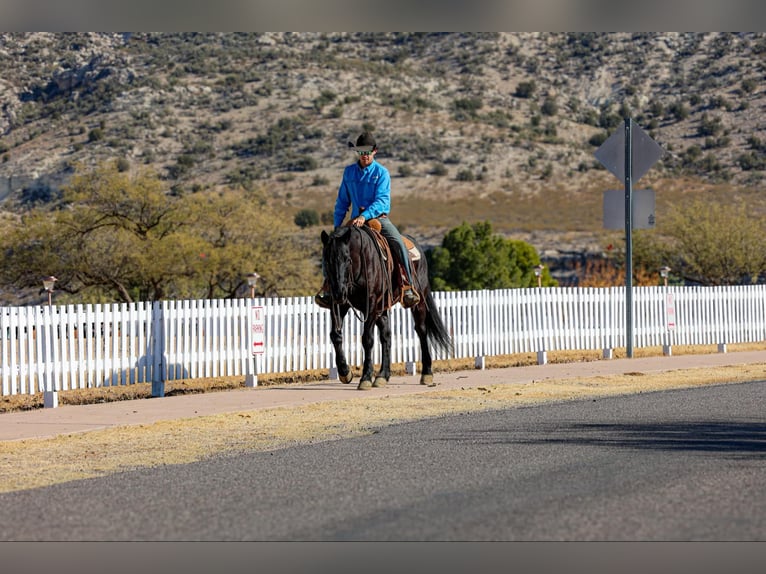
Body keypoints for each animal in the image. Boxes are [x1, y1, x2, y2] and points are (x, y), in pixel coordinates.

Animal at [320, 224, 453, 390]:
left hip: (419, 301)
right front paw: (345, 372)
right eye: (327, 261)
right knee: (386, 336)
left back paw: (427, 373)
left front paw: (365, 378)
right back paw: (383, 375)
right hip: (381, 308)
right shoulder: (340, 305)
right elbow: (335, 335)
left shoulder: (370, 305)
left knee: (421, 331)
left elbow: (367, 339)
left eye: (347, 259)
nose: (338, 292)